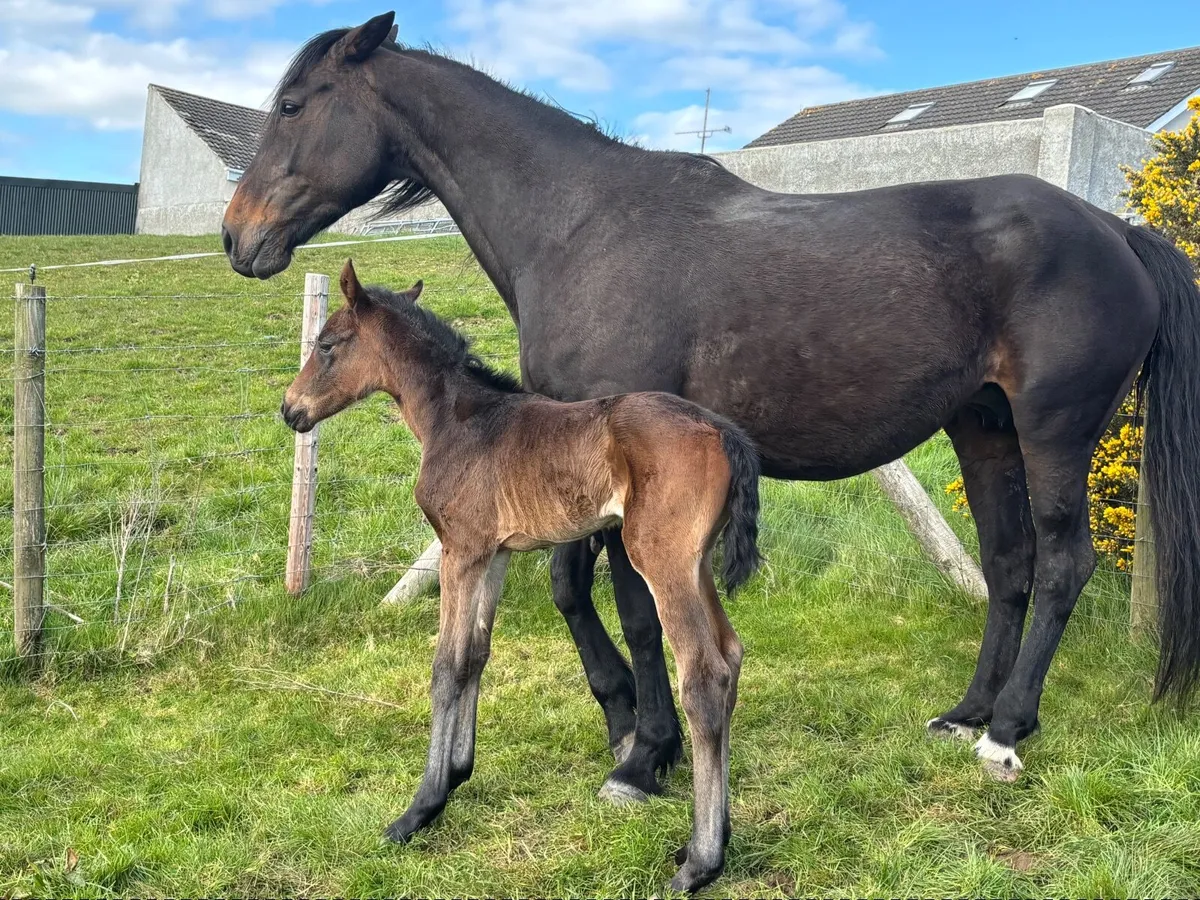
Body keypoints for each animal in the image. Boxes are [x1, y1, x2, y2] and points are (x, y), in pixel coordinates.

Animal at [224, 9, 1200, 821]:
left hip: (1053, 433)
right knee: (1009, 566)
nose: (239, 237)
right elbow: (573, 590)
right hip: (983, 429)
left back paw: (1005, 735)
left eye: (292, 104)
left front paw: (640, 754)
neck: (580, 225)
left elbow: (633, 607)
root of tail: (1118, 233)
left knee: (1064, 564)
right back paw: (968, 714)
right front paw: (625, 722)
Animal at [281, 259, 762, 891]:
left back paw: (700, 861)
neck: (458, 421)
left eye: (327, 345)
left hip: (660, 558)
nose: (289, 409)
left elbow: (445, 666)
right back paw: (717, 836)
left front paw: (419, 809)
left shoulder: (460, 549)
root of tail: (721, 431)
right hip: (695, 562)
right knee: (730, 657)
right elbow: (475, 654)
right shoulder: (495, 553)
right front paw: (456, 773)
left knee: (704, 675)